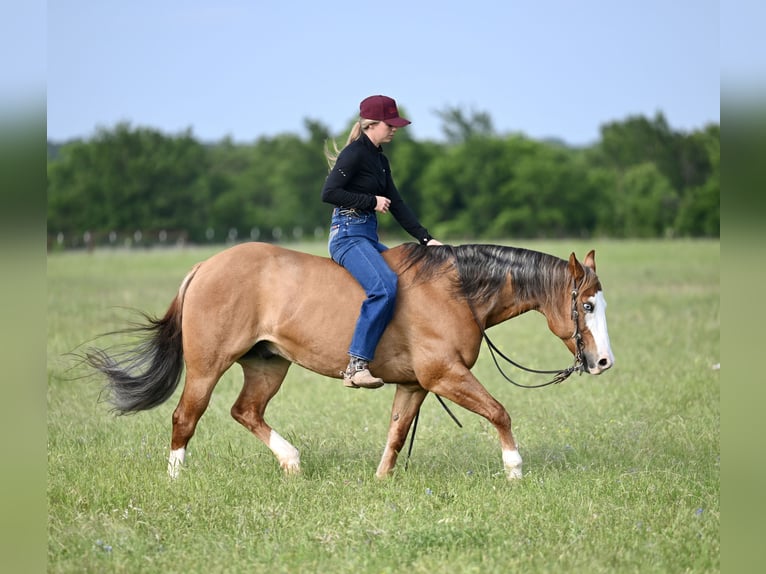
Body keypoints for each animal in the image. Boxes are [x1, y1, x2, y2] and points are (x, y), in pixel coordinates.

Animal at [86, 241, 614, 480]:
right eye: (586, 305)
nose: (603, 361)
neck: (455, 291)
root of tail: (205, 265)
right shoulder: (445, 376)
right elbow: (500, 412)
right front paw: (514, 469)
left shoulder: (416, 384)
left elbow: (397, 433)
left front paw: (381, 481)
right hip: (207, 365)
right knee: (186, 416)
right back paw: (177, 478)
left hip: (267, 364)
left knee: (246, 411)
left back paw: (292, 462)